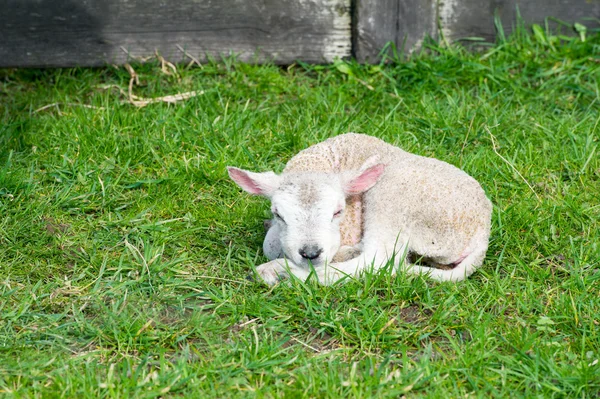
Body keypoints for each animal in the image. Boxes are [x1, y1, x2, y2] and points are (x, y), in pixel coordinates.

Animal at [227, 133, 490, 286]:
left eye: (338, 212)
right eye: (278, 213)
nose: (310, 253)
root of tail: (482, 234)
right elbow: (272, 242)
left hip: (395, 198)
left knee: (377, 262)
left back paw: (279, 273)